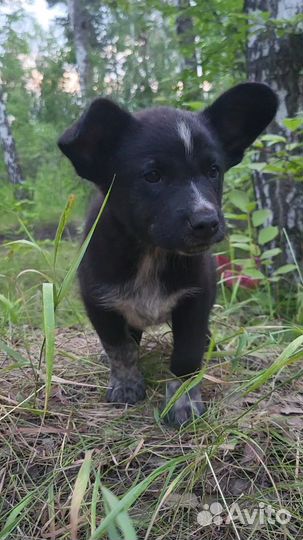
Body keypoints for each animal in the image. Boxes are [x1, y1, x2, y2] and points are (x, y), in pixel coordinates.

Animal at [58, 82, 280, 424]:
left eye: (213, 170)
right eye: (152, 175)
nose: (207, 222)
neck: (153, 253)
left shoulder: (195, 300)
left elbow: (186, 357)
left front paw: (182, 402)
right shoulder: (99, 302)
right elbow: (120, 348)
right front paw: (126, 385)